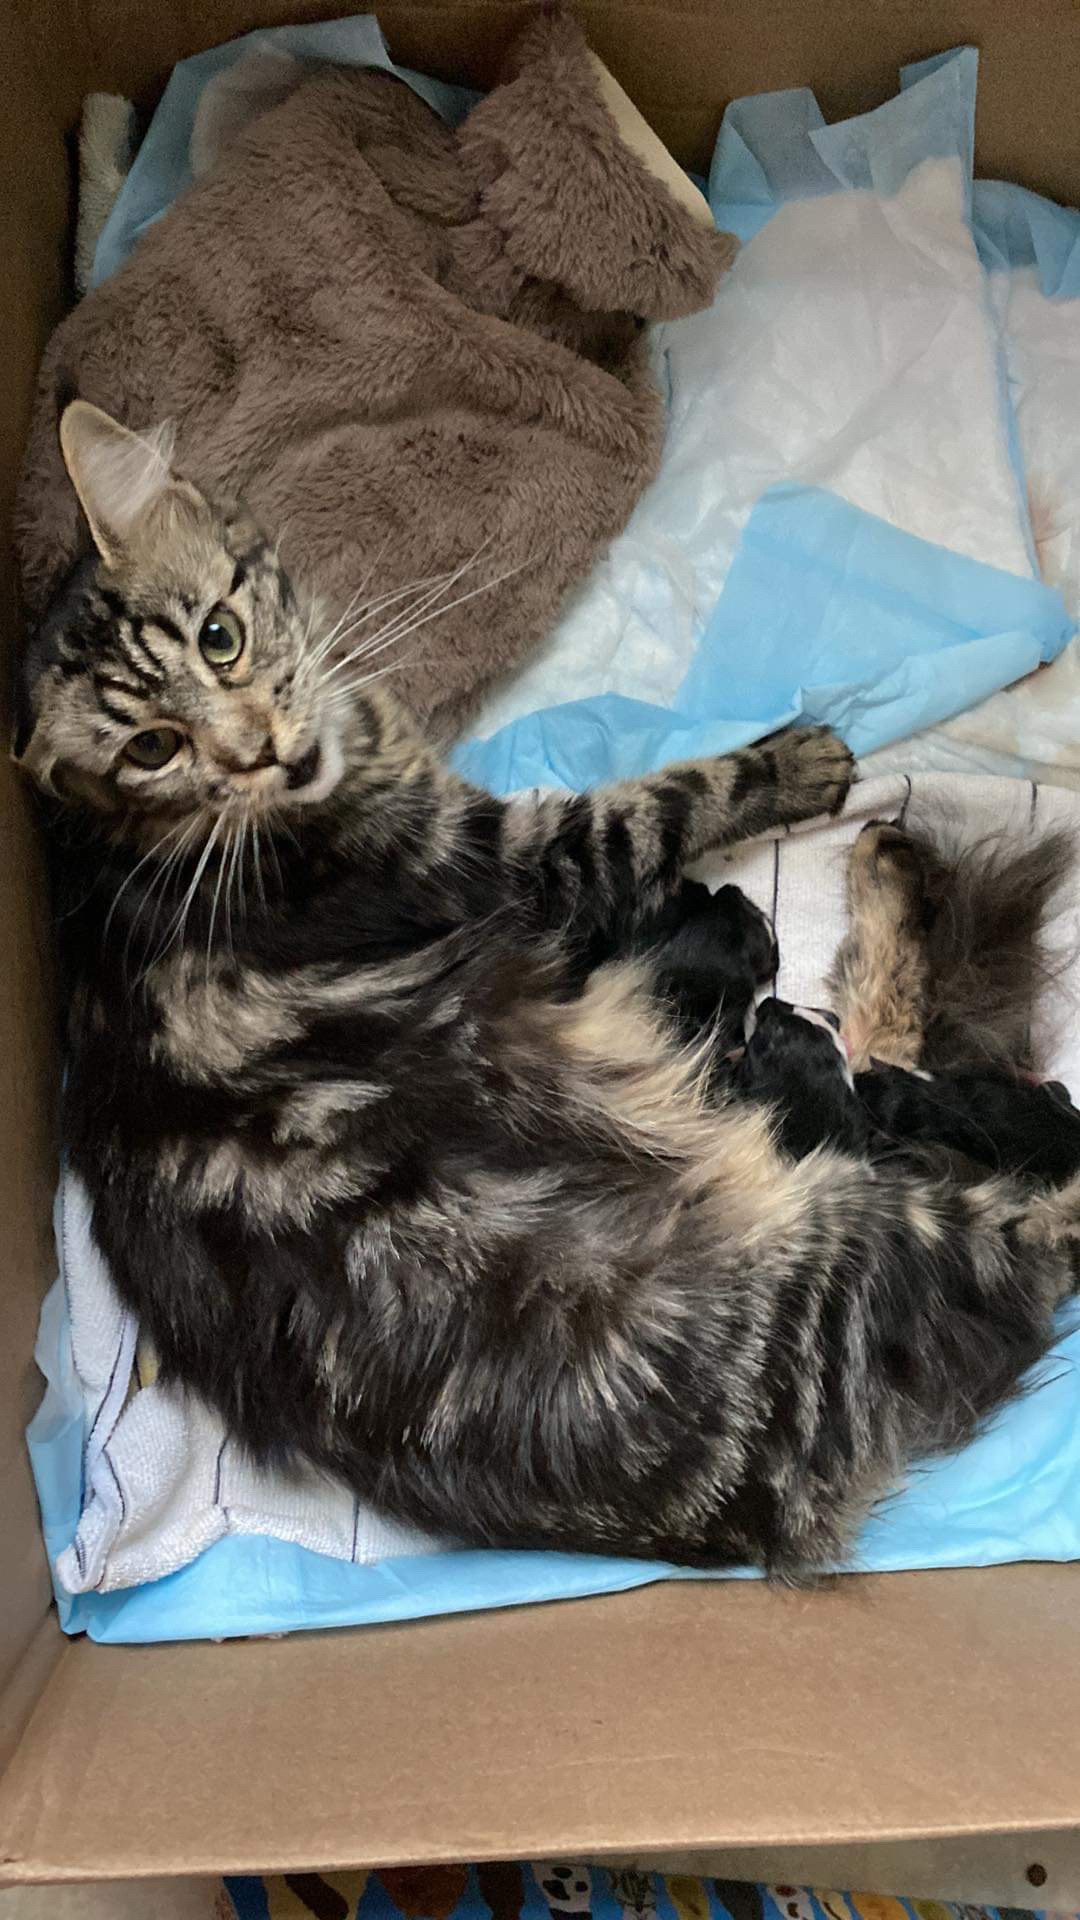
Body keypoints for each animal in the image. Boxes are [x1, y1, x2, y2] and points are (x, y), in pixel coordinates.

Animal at [14, 401, 1076, 1574]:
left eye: (220, 637)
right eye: (155, 746)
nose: (260, 753)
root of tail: (728, 1517)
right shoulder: (524, 861)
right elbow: (669, 797)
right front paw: (788, 761)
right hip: (876, 1231)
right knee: (971, 1139)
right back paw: (888, 874)